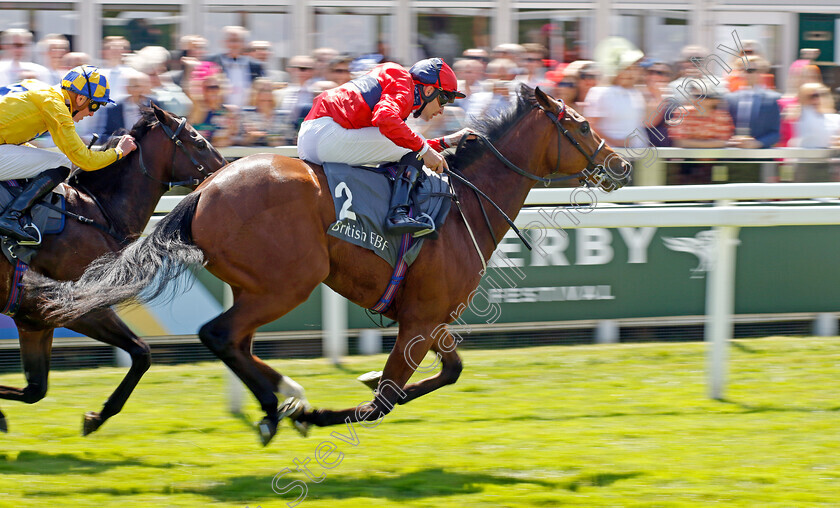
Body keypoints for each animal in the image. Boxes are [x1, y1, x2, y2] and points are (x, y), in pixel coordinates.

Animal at [2, 105, 226, 434]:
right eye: (198, 142)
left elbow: (35, 390)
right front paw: (97, 417)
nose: (228, 168)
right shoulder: (79, 307)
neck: (96, 212)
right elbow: (142, 353)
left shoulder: (33, 320)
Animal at [27, 87, 632, 444]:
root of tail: (206, 189)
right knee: (220, 334)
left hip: (260, 286)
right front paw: (323, 413)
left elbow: (446, 373)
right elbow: (384, 399)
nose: (621, 165)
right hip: (288, 282)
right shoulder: (420, 318)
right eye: (580, 125)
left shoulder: (431, 315)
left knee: (235, 342)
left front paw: (344, 386)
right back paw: (281, 406)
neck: (464, 201)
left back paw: (278, 400)